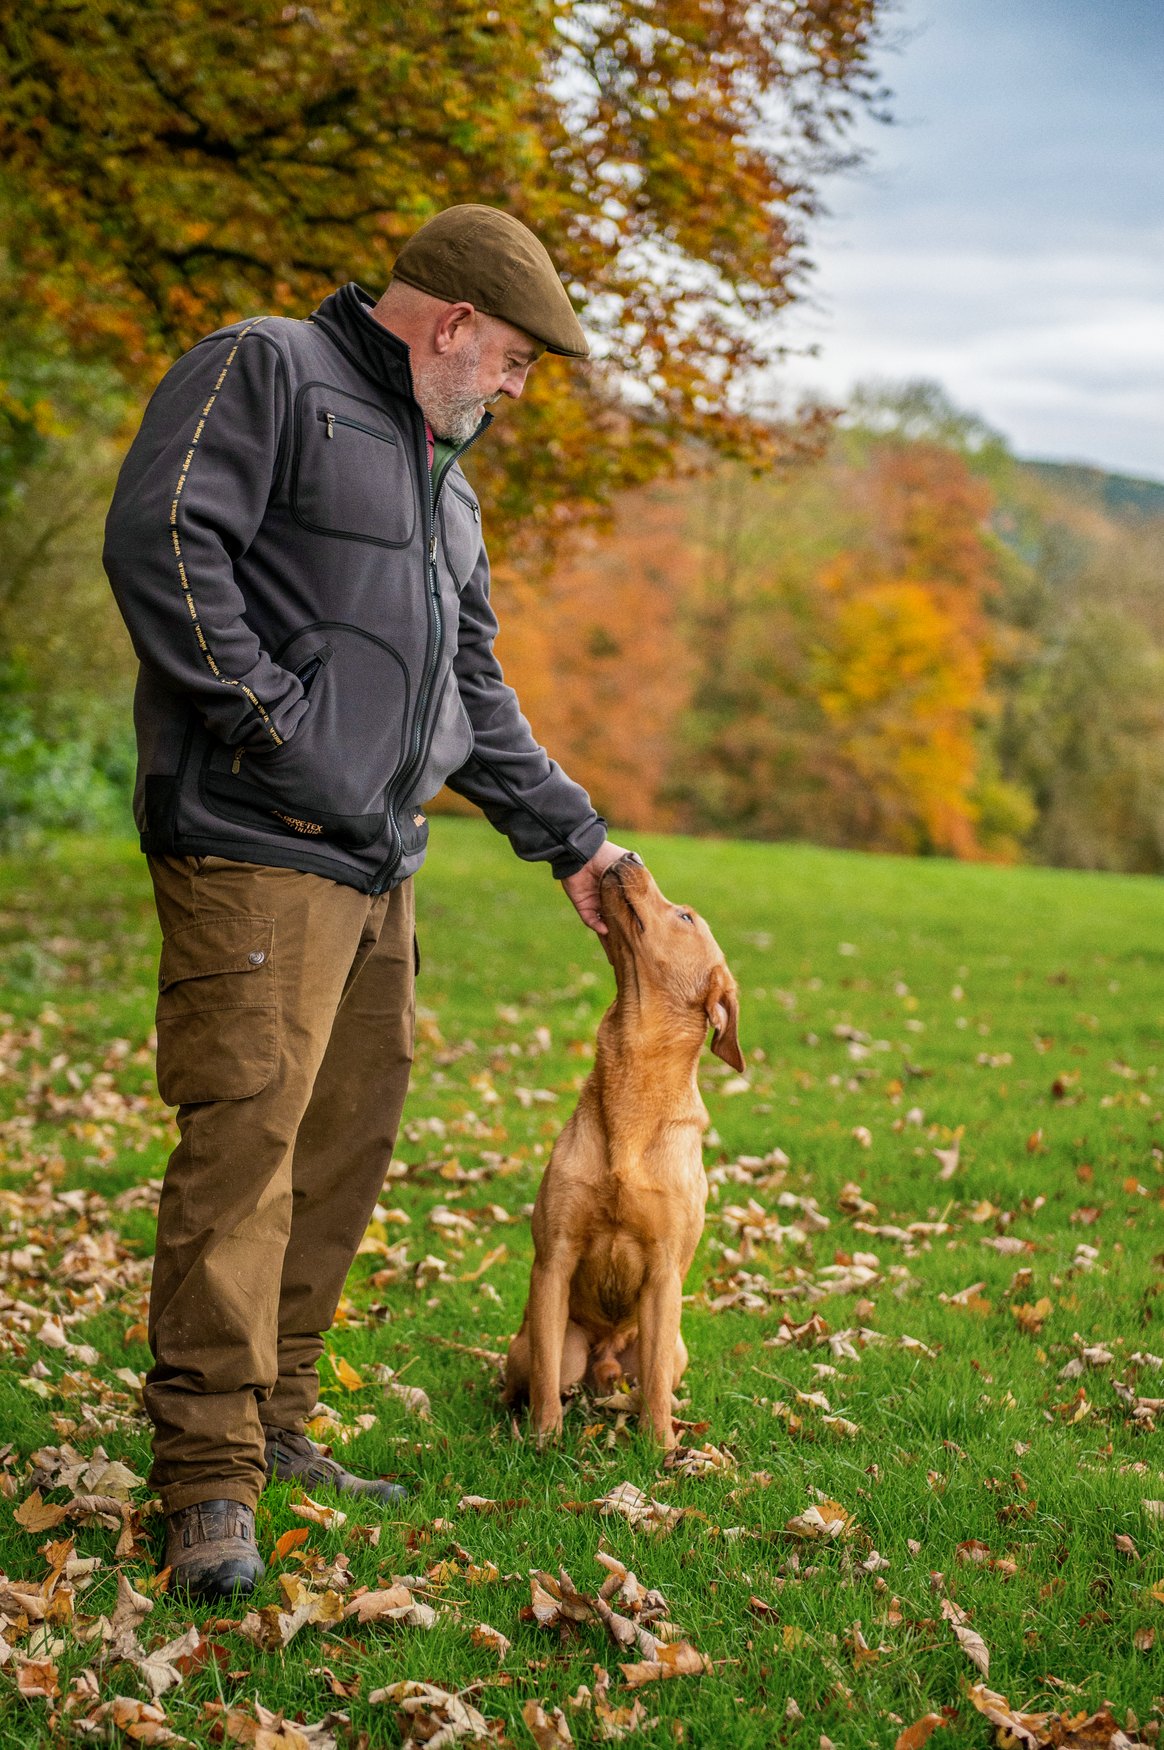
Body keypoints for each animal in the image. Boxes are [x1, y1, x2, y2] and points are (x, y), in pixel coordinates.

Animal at [500, 850, 738, 1449]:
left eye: (685, 917)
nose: (627, 854)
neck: (634, 1087)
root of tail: (604, 1360)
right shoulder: (553, 1260)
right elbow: (545, 1374)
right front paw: (544, 1438)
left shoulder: (663, 1275)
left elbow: (653, 1379)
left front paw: (662, 1449)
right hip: (544, 1345)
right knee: (536, 1375)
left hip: (675, 1347)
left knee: (652, 1377)